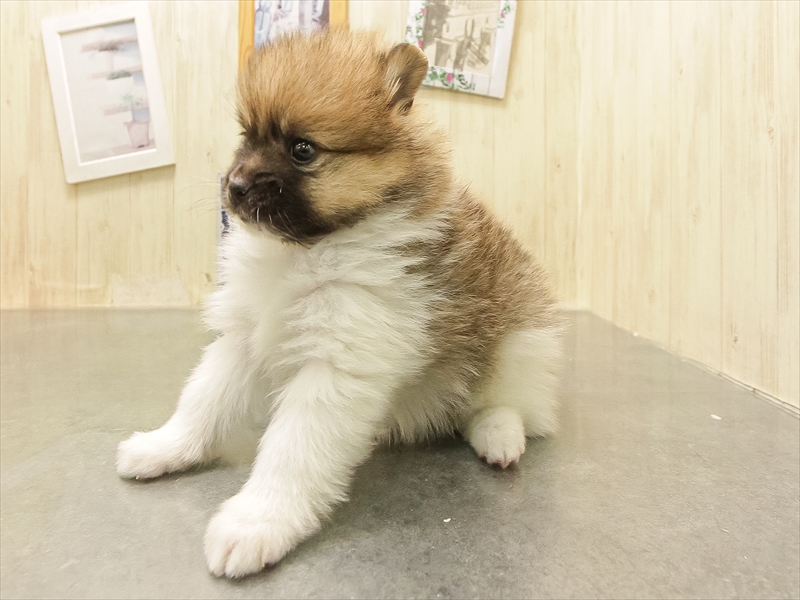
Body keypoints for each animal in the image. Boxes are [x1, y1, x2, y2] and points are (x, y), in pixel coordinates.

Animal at [117, 29, 563, 578]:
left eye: (302, 149)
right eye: (247, 136)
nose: (234, 187)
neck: (307, 251)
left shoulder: (336, 369)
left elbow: (291, 453)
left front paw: (256, 522)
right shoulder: (243, 338)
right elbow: (201, 403)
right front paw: (166, 447)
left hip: (523, 341)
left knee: (508, 402)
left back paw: (499, 436)